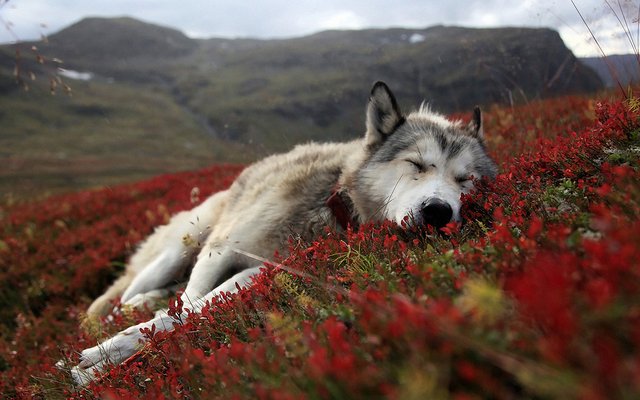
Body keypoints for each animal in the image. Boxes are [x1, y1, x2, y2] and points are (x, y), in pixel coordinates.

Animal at [67, 81, 498, 384]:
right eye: (416, 165)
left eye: (465, 180)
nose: (438, 212)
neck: (332, 204)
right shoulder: (220, 250)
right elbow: (186, 305)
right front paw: (106, 355)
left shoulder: (262, 270)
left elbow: (192, 311)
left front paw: (108, 360)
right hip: (185, 244)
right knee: (119, 297)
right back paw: (120, 312)